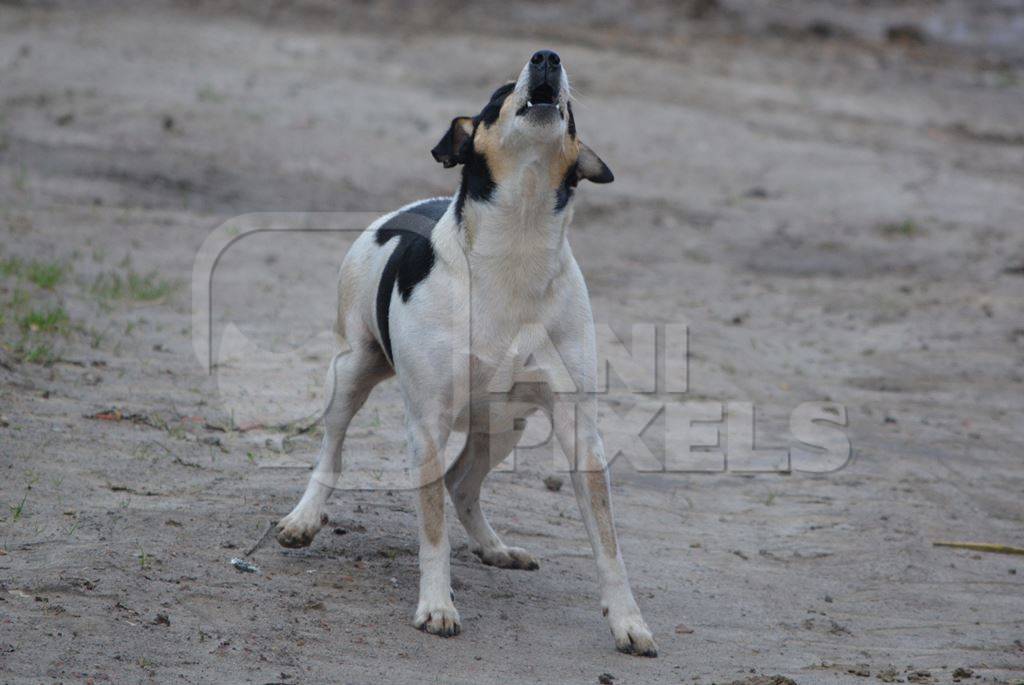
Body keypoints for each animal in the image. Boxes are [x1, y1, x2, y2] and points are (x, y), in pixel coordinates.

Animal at [272, 50, 655, 655]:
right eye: (499, 95)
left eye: (571, 110)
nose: (547, 57)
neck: (517, 245)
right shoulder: (426, 425)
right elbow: (432, 532)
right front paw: (436, 605)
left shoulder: (580, 432)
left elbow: (608, 543)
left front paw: (627, 621)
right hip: (350, 372)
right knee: (331, 454)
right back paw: (304, 519)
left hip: (504, 425)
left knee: (462, 483)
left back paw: (494, 546)